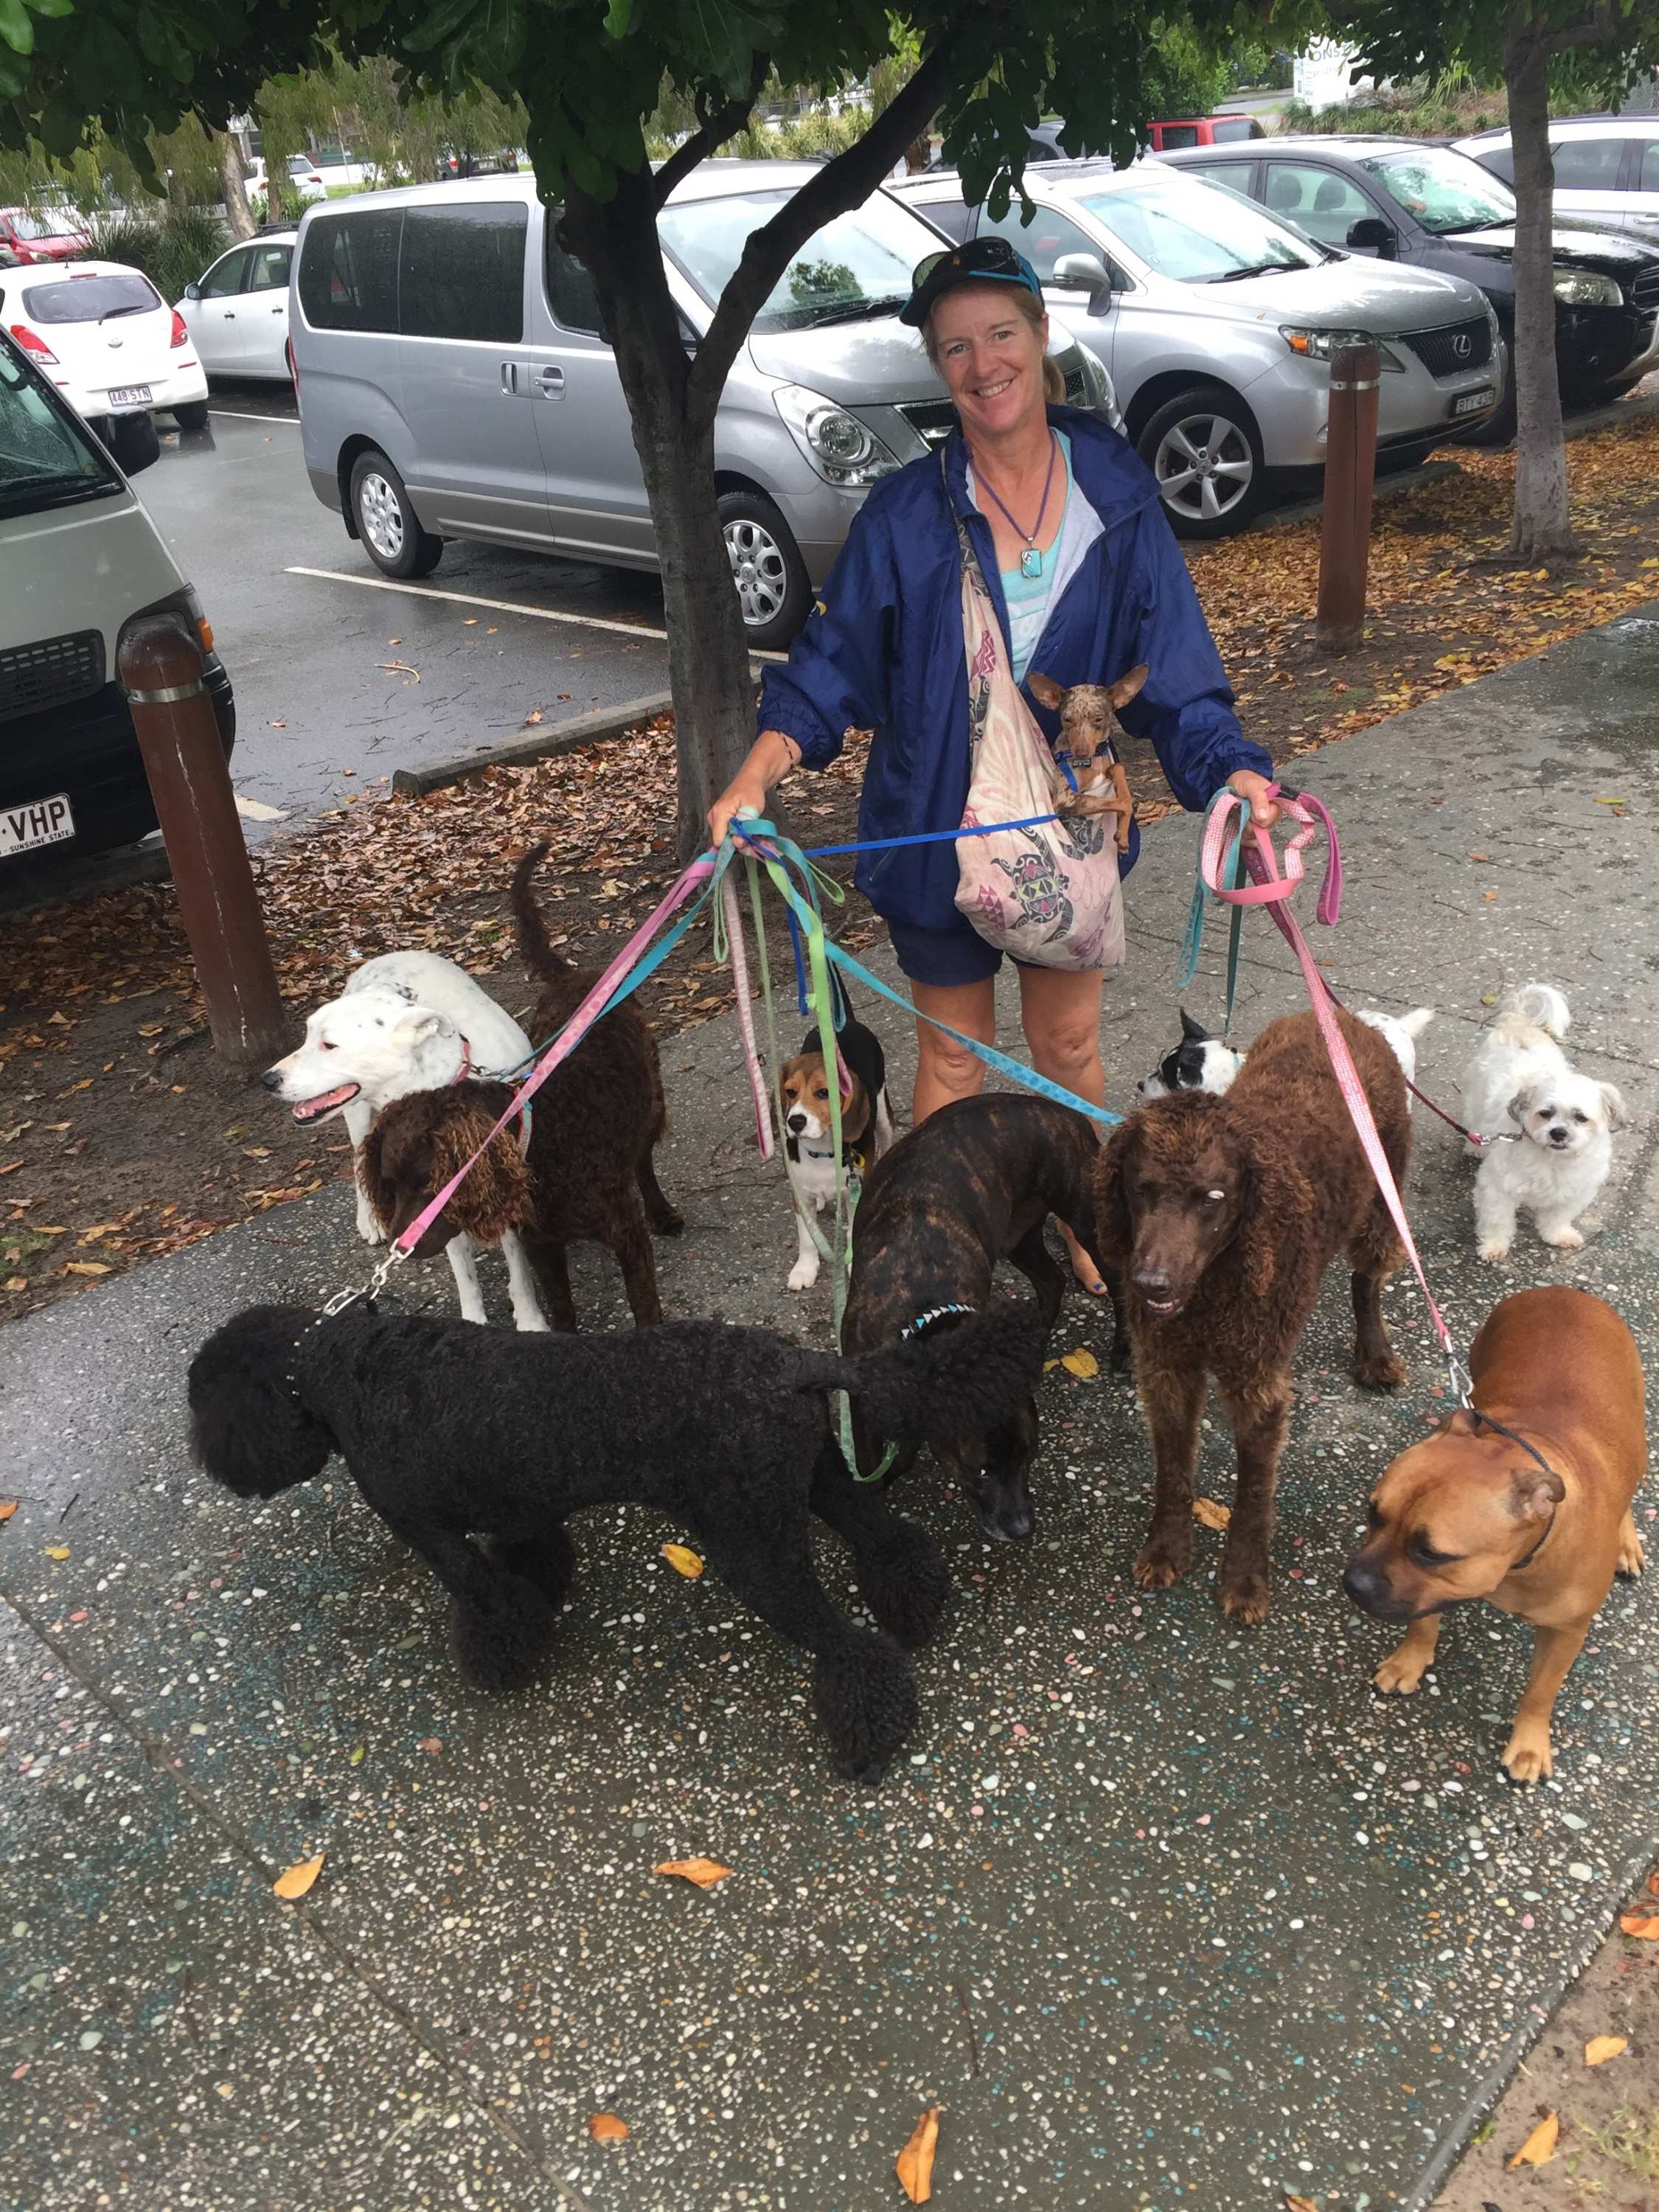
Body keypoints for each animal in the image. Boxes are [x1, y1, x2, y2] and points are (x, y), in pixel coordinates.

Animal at [260, 956, 546, 1327]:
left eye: (329, 1045)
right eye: (308, 1035)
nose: (268, 1080)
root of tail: (382, 957)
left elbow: (519, 1269)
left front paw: (531, 1322)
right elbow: (465, 1276)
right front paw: (473, 1321)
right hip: (357, 1115)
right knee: (358, 1163)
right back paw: (368, 1219)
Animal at [1354, 1292, 1655, 1778]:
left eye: (1431, 1552)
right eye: (1373, 1513)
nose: (1353, 1583)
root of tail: (1565, 1290)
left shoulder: (1566, 1633)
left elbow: (1540, 1692)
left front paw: (1530, 1746)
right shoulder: (1432, 1591)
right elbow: (1422, 1624)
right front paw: (1408, 1662)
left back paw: (1626, 1544)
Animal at [1460, 987, 1628, 1265]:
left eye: (1581, 1117)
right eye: (1545, 1113)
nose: (1558, 1132)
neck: (1552, 1160)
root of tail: (1518, 1020)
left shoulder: (1576, 1191)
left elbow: (1558, 1217)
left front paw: (1558, 1235)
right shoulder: (1497, 1187)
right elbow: (1498, 1220)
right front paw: (1493, 1246)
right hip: (1476, 1097)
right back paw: (1474, 1145)